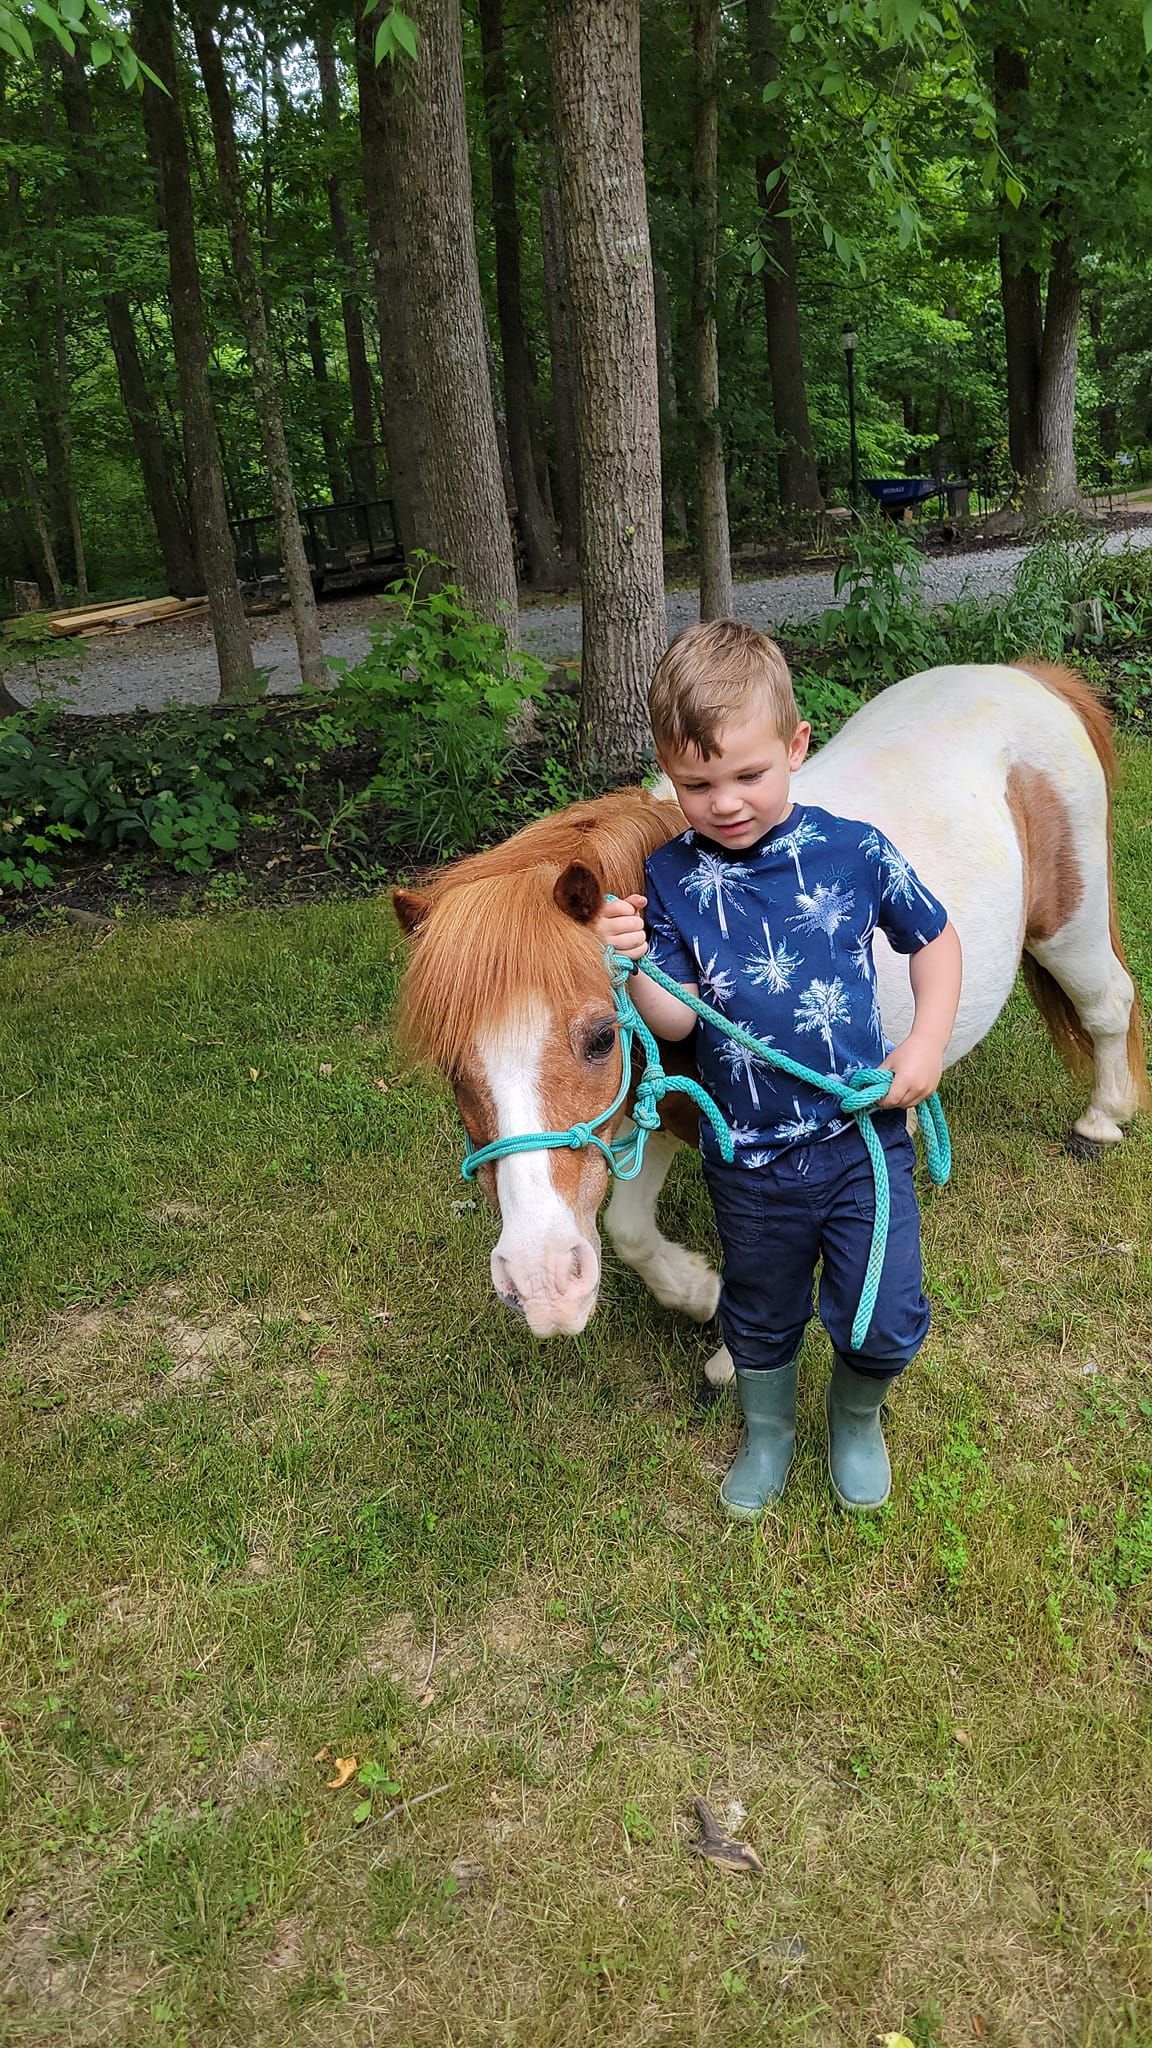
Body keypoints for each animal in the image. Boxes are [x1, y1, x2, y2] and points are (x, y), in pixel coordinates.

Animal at [392, 659, 1148, 1383]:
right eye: (452, 1067)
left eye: (602, 1038)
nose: (541, 1283)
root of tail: (1030, 676)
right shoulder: (658, 1109)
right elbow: (628, 1227)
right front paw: (700, 1293)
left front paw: (731, 1353)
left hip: (1068, 930)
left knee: (1109, 1003)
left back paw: (1101, 1120)